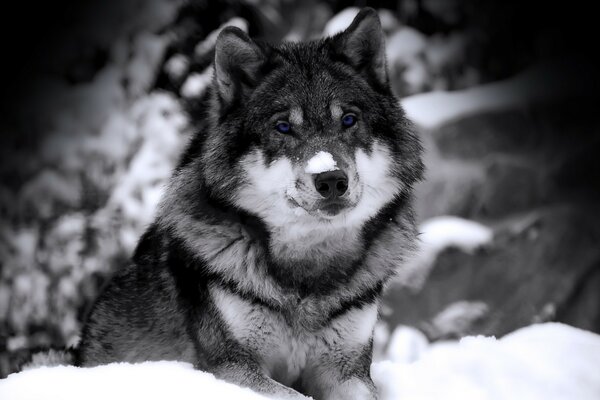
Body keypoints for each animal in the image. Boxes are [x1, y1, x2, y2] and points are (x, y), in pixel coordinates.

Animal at [75, 7, 422, 398]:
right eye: (283, 127)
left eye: (348, 120)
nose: (331, 179)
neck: (307, 271)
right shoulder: (232, 367)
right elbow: (294, 395)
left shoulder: (348, 371)